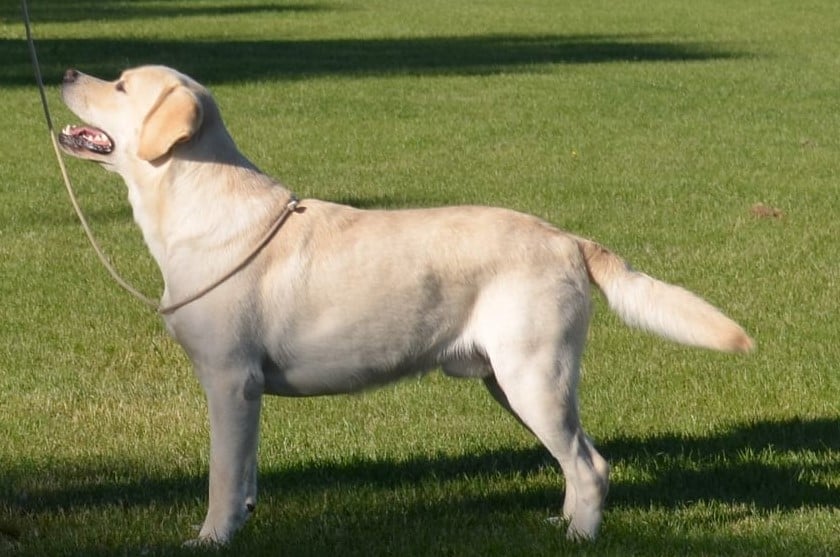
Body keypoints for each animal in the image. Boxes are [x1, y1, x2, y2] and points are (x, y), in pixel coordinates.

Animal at [58, 65, 753, 544]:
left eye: (120, 85)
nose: (65, 73)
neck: (195, 204)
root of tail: (567, 238)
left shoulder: (230, 381)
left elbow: (222, 477)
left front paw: (211, 539)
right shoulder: (247, 393)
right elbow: (247, 474)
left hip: (535, 377)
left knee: (591, 465)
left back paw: (580, 538)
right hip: (512, 382)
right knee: (578, 460)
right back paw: (562, 525)